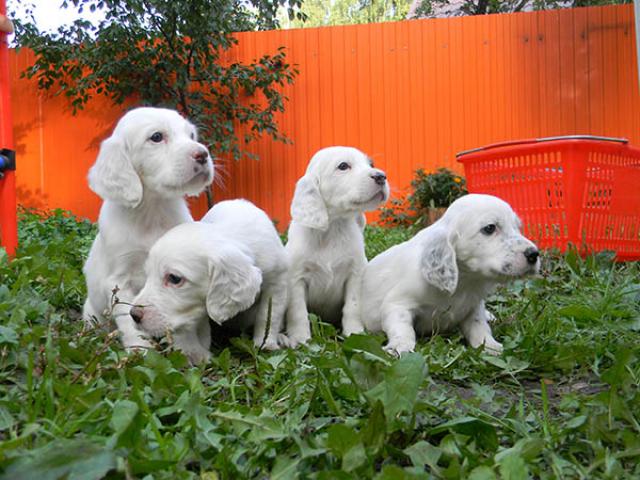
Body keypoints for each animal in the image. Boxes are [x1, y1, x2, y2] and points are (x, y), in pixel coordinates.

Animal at [81, 107, 212, 346]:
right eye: (157, 137)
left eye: (191, 135)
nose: (203, 155)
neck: (153, 212)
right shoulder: (119, 281)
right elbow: (129, 320)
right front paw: (139, 350)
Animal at [129, 200, 288, 364]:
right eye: (148, 274)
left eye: (174, 278)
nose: (133, 315)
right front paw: (194, 352)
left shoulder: (277, 282)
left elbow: (269, 314)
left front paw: (266, 343)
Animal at [286, 146, 390, 344]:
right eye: (343, 166)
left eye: (371, 164)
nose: (381, 176)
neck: (333, 228)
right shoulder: (296, 279)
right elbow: (298, 312)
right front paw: (301, 339)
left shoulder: (355, 274)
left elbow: (352, 307)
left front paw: (354, 333)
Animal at [360, 194, 540, 356]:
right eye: (490, 228)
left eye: (517, 227)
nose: (534, 254)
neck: (465, 281)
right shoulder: (398, 304)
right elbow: (403, 329)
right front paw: (399, 347)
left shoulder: (473, 306)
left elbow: (479, 327)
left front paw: (491, 346)